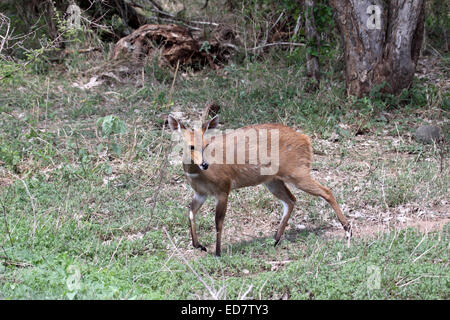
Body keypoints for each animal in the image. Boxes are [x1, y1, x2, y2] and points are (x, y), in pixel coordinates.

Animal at [169, 114, 352, 256]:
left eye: (206, 144)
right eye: (191, 146)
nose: (205, 164)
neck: (200, 175)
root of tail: (306, 139)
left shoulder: (223, 188)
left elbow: (218, 221)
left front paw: (218, 252)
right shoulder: (201, 193)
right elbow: (191, 212)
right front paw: (199, 245)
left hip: (298, 173)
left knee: (326, 191)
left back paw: (347, 229)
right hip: (273, 180)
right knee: (291, 200)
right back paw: (275, 239)